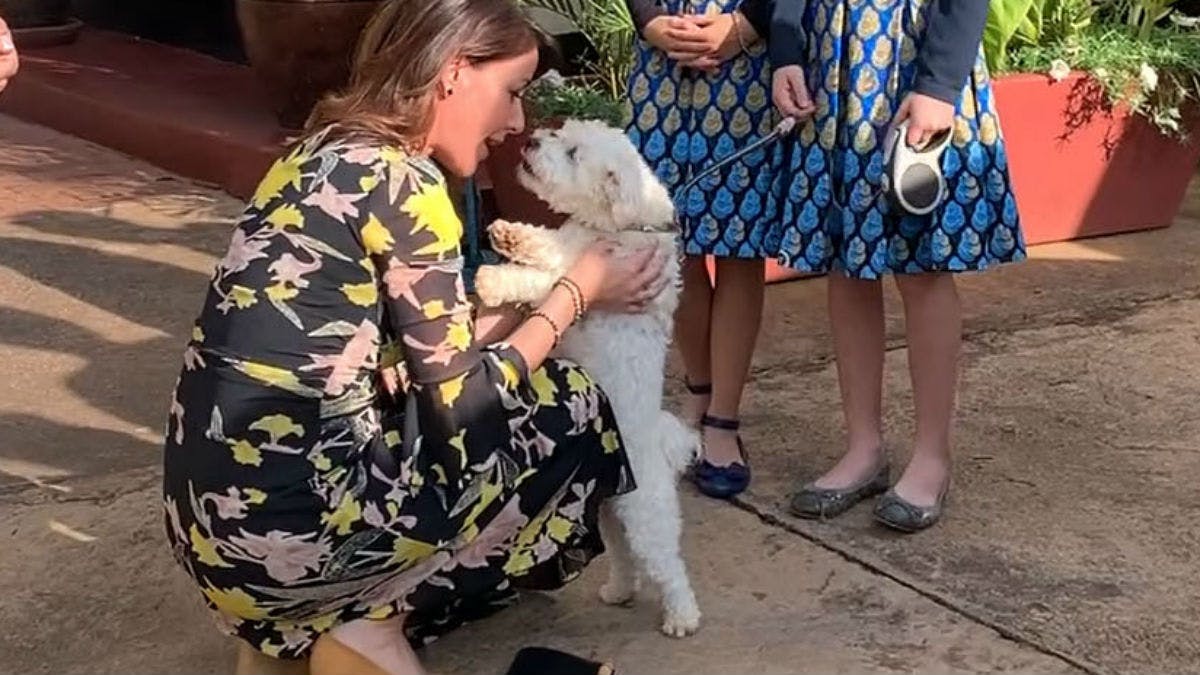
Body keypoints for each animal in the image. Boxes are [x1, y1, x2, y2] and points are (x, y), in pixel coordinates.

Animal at [472, 117, 700, 634]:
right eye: (560, 134)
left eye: (574, 153)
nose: (531, 140)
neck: (621, 224)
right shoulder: (572, 245)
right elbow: (545, 244)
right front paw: (511, 235)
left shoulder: (582, 274)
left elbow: (544, 279)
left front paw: (493, 279)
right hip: (612, 513)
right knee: (624, 558)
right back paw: (619, 591)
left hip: (646, 517)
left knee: (668, 566)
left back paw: (682, 616)